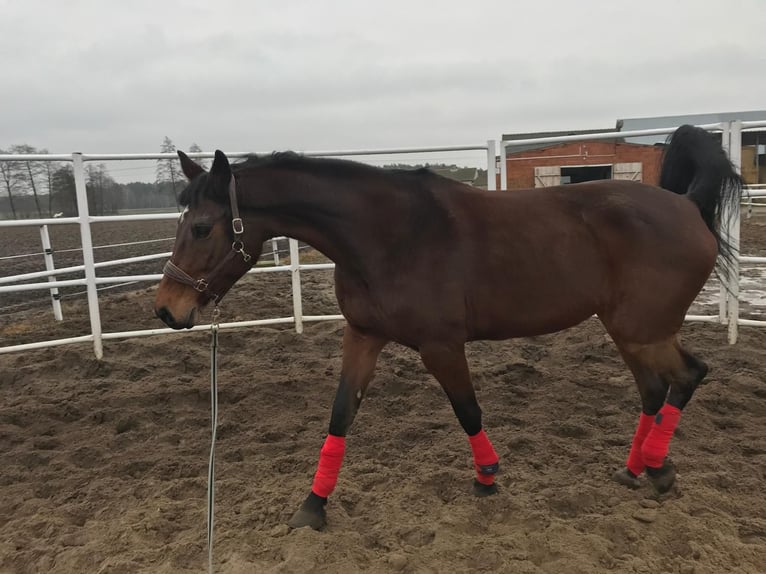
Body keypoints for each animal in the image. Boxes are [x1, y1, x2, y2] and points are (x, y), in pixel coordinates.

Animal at [154, 125, 744, 532]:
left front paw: (487, 478)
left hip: (642, 329)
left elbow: (468, 410)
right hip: (628, 329)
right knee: (655, 389)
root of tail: (687, 205)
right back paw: (635, 469)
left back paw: (659, 469)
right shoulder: (362, 336)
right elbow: (341, 415)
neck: (388, 235)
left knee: (688, 375)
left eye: (201, 227)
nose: (166, 309)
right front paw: (313, 506)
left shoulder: (441, 346)